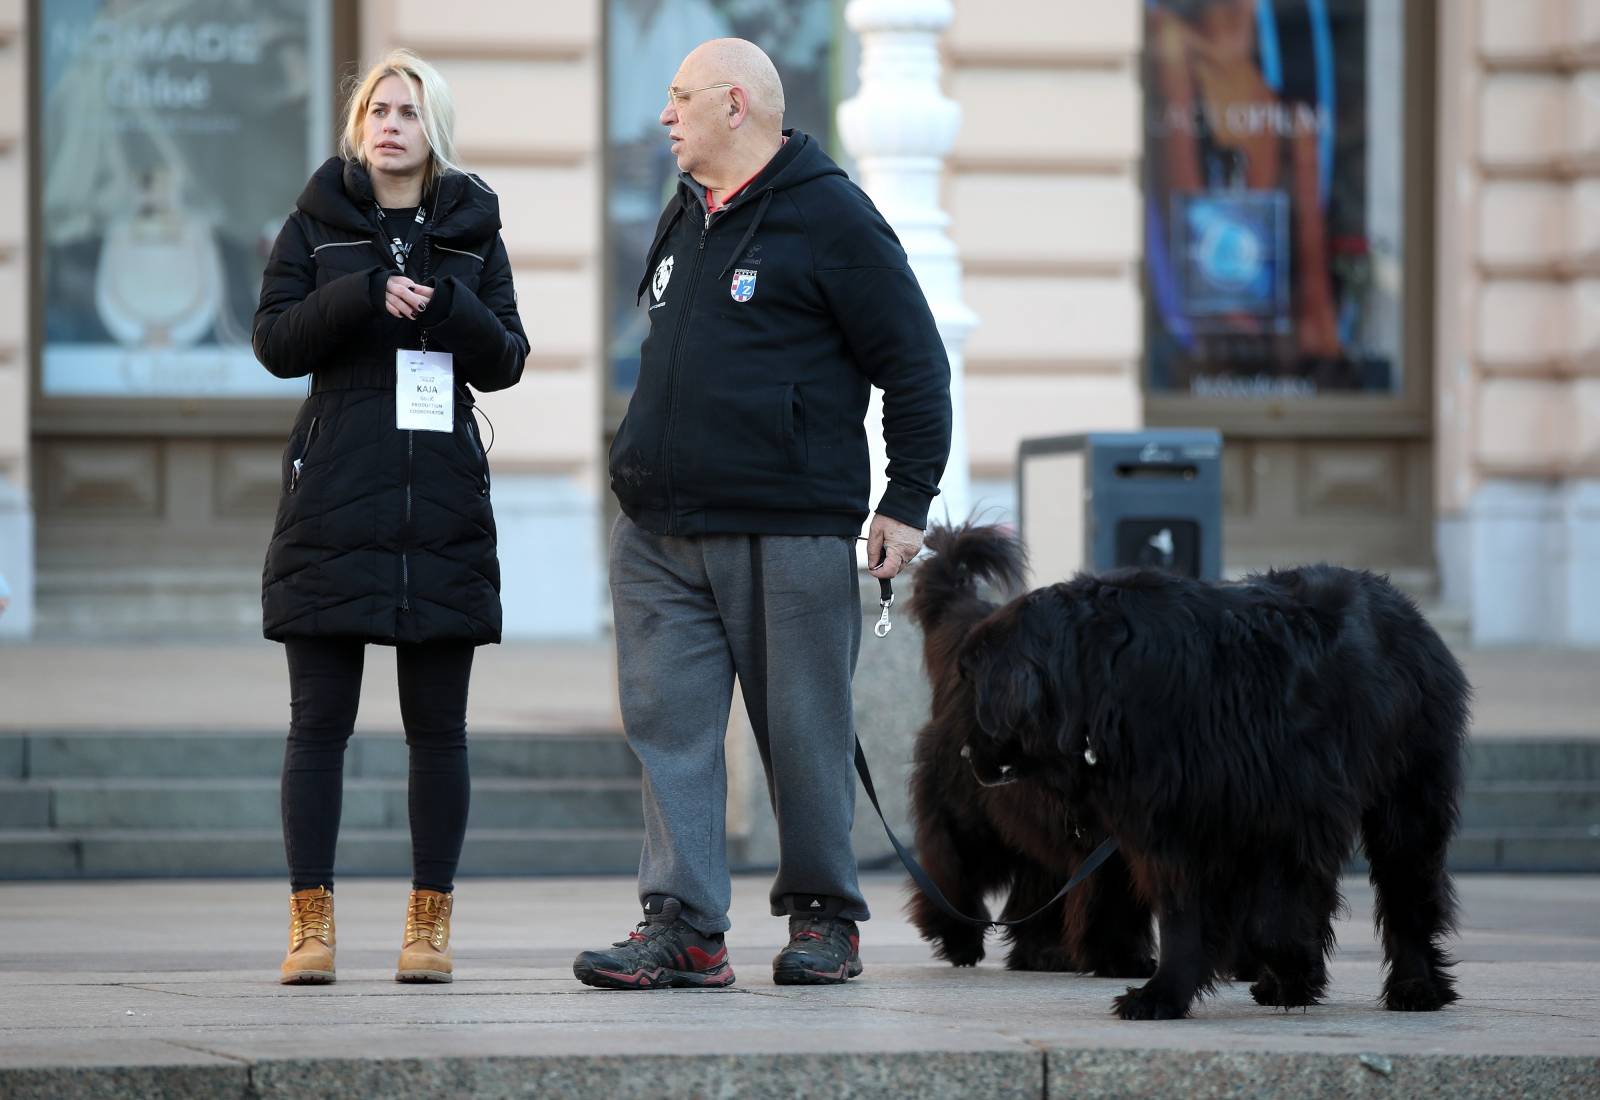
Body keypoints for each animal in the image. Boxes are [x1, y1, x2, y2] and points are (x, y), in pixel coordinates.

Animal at [908, 527, 1465, 1023]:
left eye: (978, 679)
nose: (966, 749)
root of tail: (1407, 610)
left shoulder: (1282, 818)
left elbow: (1272, 917)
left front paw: (1287, 973)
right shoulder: (1171, 824)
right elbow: (1182, 915)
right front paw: (1163, 995)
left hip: (1408, 797)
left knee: (1407, 891)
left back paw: (1415, 988)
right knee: (960, 863)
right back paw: (971, 938)